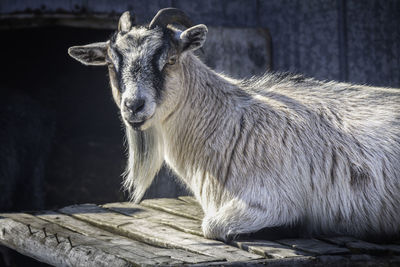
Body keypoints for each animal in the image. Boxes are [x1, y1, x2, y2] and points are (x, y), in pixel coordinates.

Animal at [69, 8, 400, 243]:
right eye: (111, 64)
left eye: (171, 59)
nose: (134, 106)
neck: (227, 120)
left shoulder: (272, 199)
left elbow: (212, 226)